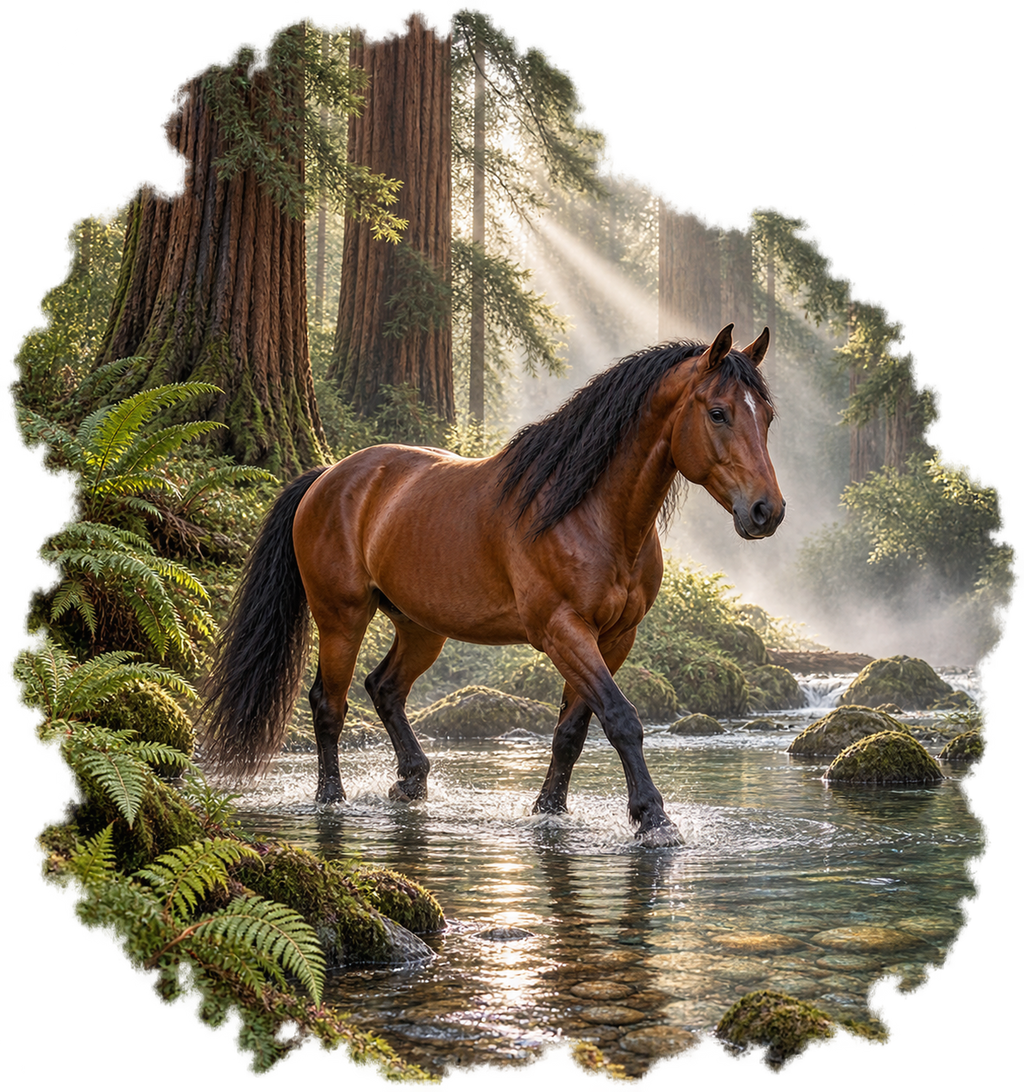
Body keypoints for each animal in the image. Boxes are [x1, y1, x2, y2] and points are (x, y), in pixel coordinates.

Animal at [200, 323, 785, 845]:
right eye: (718, 412)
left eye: (768, 417)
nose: (767, 511)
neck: (588, 514)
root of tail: (326, 476)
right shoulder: (563, 632)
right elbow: (621, 718)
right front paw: (652, 818)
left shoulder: (614, 639)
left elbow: (572, 732)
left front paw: (550, 810)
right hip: (341, 617)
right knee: (329, 703)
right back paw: (331, 797)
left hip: (421, 628)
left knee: (384, 688)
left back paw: (412, 780)